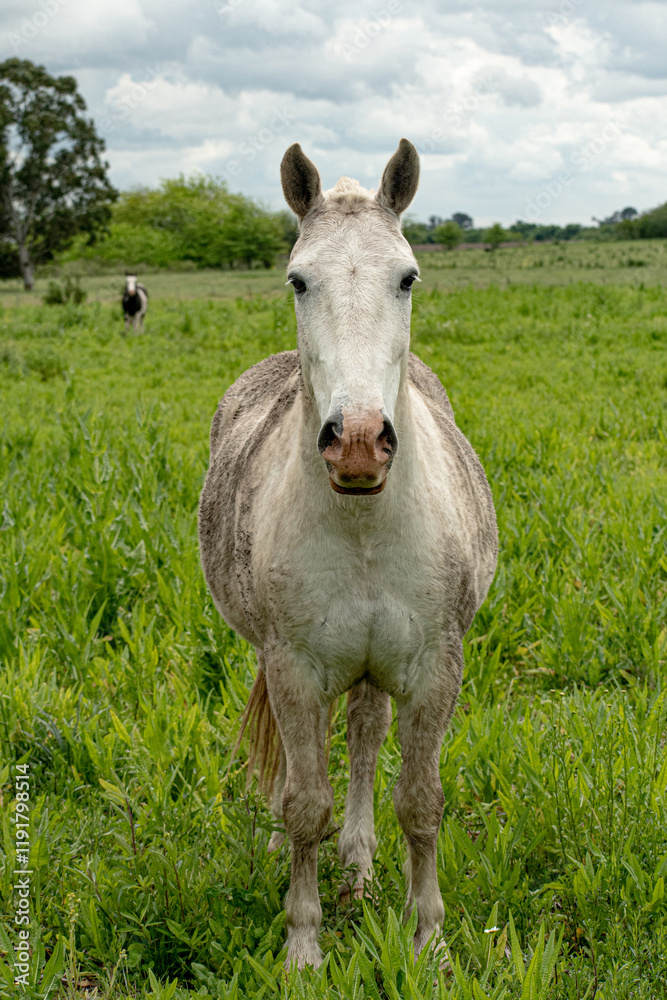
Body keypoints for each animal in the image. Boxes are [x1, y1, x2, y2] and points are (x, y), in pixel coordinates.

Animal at [198, 139, 498, 971]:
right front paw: (302, 944)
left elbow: (419, 803)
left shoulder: (434, 667)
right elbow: (306, 802)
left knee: (363, 738)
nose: (358, 441)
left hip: (374, 668)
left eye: (408, 277)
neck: (363, 524)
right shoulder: (294, 667)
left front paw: (428, 941)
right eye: (299, 280)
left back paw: (359, 866)